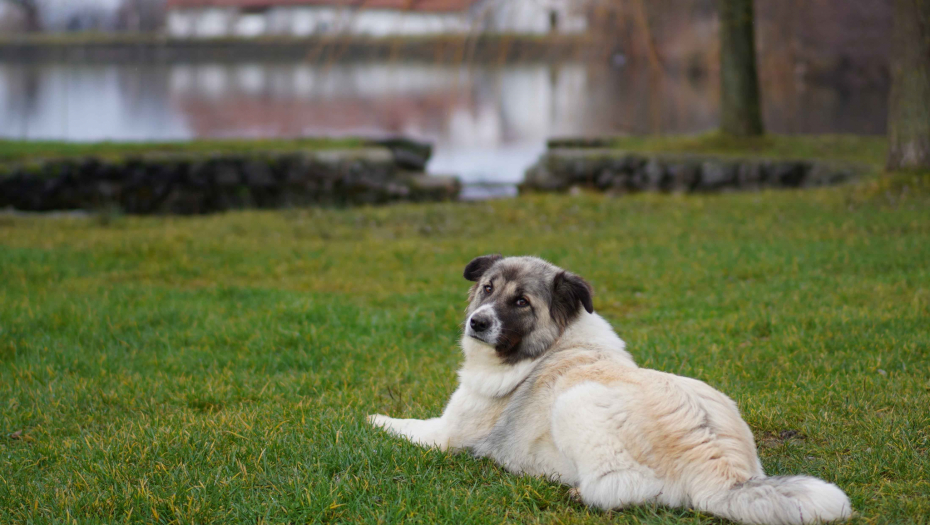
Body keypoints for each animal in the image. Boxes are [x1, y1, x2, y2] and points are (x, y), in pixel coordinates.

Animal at [366, 256, 852, 520]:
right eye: (487, 288)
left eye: (521, 301)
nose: (477, 322)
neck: (553, 345)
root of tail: (719, 466)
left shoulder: (446, 435)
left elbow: (401, 425)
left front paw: (370, 418)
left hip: (574, 404)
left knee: (626, 488)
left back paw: (579, 492)